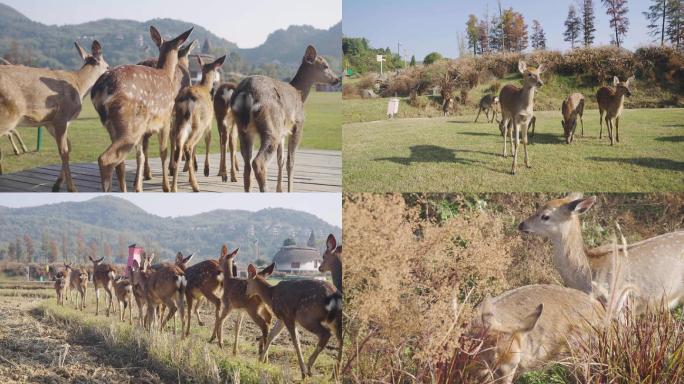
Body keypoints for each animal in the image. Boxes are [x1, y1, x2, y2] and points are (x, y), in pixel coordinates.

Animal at [0, 40, 108, 190]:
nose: (111, 70)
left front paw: (57, 184)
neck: (79, 86)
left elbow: (69, 147)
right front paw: (71, 188)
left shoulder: (50, 122)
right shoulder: (62, 117)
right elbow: (64, 151)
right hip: (7, 116)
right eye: (107, 66)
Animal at [91, 26, 192, 192]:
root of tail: (100, 89)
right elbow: (163, 152)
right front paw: (166, 187)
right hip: (129, 124)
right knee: (105, 159)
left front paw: (139, 187)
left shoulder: (146, 129)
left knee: (119, 163)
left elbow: (141, 155)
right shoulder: (165, 119)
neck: (167, 75)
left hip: (117, 127)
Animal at [171, 54, 227, 192]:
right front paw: (206, 170)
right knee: (188, 146)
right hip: (197, 124)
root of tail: (187, 99)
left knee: (179, 147)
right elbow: (208, 140)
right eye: (216, 70)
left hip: (179, 122)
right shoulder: (208, 123)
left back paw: (174, 187)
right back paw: (195, 185)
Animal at [232, 45, 340, 192]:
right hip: (271, 125)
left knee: (247, 164)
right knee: (258, 162)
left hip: (244, 129)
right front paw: (289, 190)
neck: (300, 95)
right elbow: (291, 162)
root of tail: (246, 92)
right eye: (325, 66)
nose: (337, 79)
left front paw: (280, 189)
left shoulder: (283, 131)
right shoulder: (298, 124)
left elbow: (281, 160)